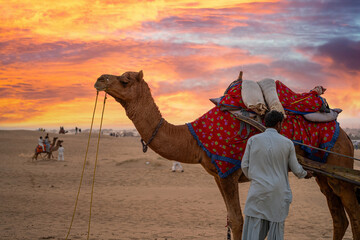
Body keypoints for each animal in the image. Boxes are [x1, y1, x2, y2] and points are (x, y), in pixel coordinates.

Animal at [94, 70, 358, 239]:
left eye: (125, 80)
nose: (99, 79)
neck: (193, 138)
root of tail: (346, 135)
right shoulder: (218, 175)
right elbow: (231, 219)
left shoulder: (228, 172)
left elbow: (239, 220)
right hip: (325, 176)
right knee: (339, 218)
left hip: (339, 165)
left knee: (353, 213)